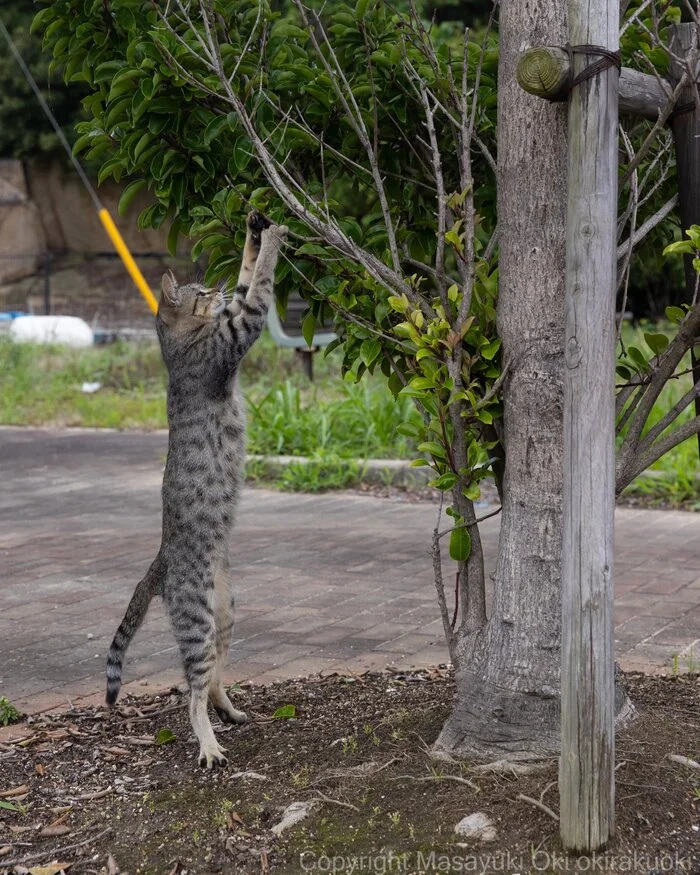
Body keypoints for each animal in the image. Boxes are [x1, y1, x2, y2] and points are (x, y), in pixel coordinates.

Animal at [103, 210, 288, 768]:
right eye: (202, 291)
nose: (217, 287)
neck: (176, 345)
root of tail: (161, 561)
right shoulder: (239, 330)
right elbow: (259, 288)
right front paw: (273, 239)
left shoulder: (234, 322)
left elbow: (251, 275)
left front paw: (255, 229)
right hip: (197, 620)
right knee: (190, 694)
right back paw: (209, 746)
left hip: (225, 613)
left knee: (211, 681)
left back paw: (230, 710)